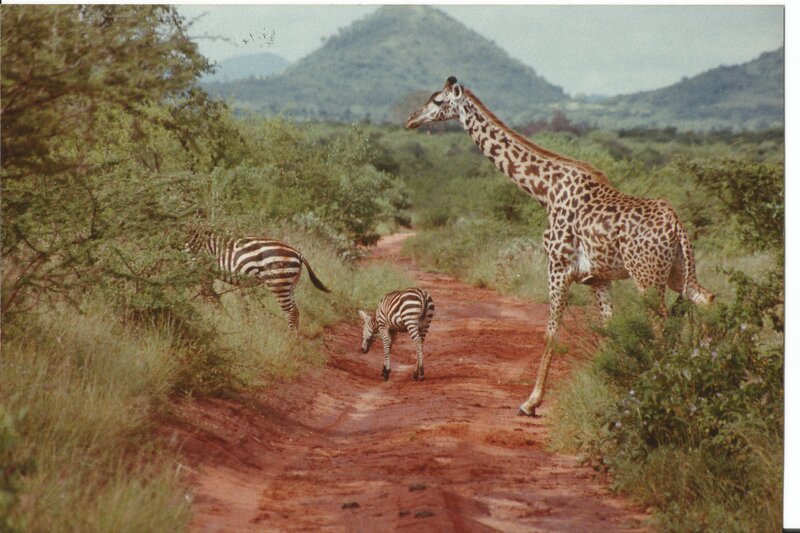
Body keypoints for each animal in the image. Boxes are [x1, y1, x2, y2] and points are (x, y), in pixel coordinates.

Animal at [185, 230, 330, 330]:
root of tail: (298, 253)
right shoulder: (206, 274)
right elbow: (211, 297)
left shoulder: (203, 271)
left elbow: (208, 297)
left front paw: (212, 318)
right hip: (289, 285)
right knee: (296, 311)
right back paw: (295, 339)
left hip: (278, 283)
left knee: (290, 312)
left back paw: (289, 339)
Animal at [406, 76, 714, 416]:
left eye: (437, 101)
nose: (411, 119)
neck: (545, 190)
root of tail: (676, 227)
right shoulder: (598, 278)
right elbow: (609, 328)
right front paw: (606, 388)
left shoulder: (558, 267)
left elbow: (551, 330)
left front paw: (531, 401)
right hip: (679, 274)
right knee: (707, 300)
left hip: (647, 277)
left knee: (659, 327)